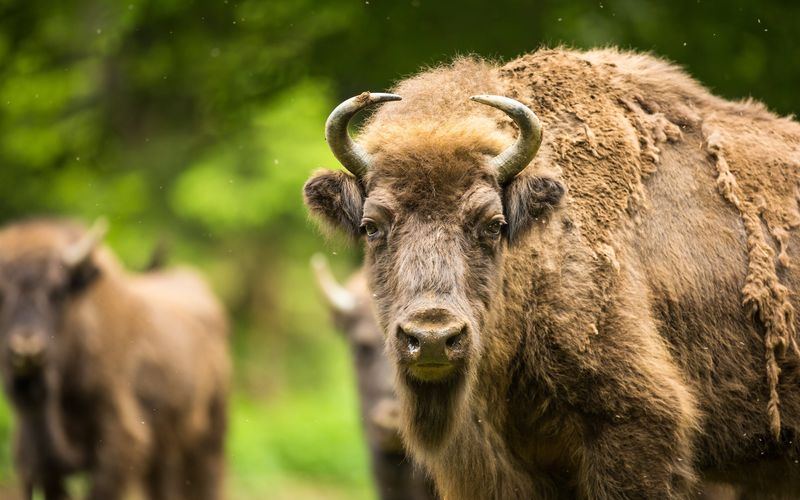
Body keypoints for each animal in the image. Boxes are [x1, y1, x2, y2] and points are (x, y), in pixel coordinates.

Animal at [0, 219, 230, 500]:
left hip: (211, 436)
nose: (26, 349)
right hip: (163, 453)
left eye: (58, 291)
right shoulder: (34, 460)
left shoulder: (119, 443)